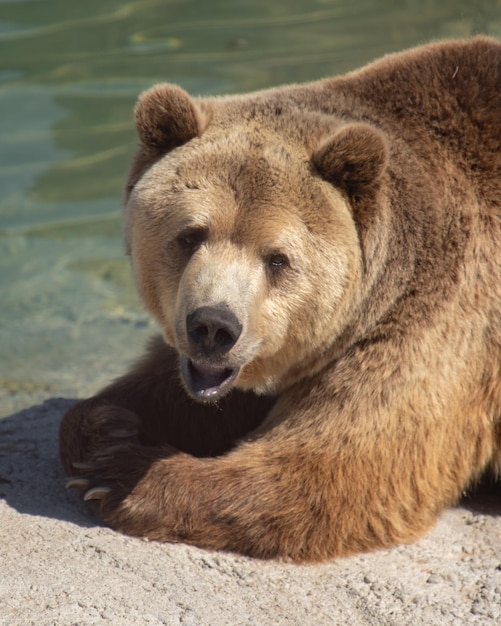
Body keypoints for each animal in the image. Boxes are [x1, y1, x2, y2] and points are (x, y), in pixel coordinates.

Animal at [60, 35, 500, 560]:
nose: (213, 327)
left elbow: (336, 466)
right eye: (190, 235)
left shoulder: (440, 314)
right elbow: (169, 387)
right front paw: (110, 426)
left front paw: (117, 470)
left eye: (277, 259)